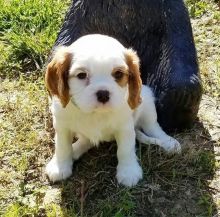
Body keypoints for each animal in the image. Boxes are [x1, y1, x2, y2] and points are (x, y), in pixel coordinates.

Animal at [45, 34, 180, 186]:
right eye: (81, 75)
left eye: (118, 74)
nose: (103, 94)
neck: (95, 114)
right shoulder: (62, 126)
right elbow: (62, 147)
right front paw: (60, 166)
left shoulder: (125, 127)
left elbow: (125, 150)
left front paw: (128, 171)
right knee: (86, 140)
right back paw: (76, 149)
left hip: (147, 100)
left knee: (153, 127)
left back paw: (169, 143)